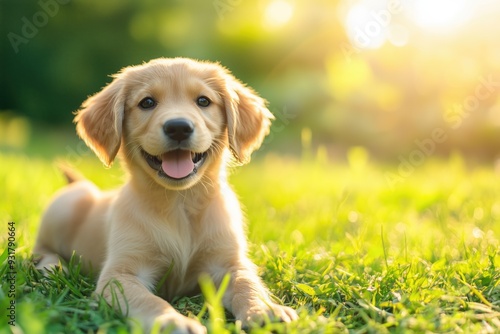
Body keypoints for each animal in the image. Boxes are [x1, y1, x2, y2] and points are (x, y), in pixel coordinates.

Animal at [34, 57, 296, 332]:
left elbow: (248, 284)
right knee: (41, 249)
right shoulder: (120, 275)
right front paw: (174, 321)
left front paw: (264, 310)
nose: (178, 127)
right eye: (147, 102)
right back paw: (53, 267)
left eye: (203, 101)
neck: (179, 204)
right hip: (61, 212)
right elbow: (150, 301)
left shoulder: (229, 262)